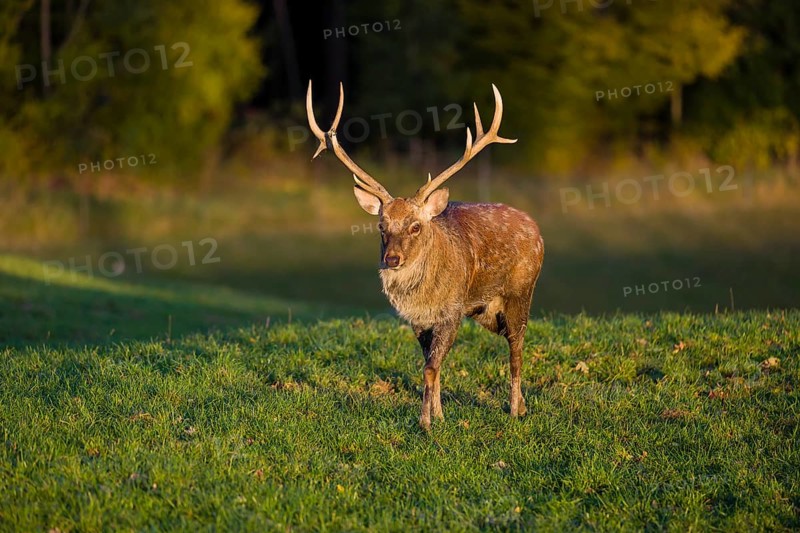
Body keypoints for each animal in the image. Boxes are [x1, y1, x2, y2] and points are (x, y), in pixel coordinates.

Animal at [306, 81, 544, 431]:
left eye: (416, 226)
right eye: (381, 225)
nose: (392, 259)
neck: (423, 296)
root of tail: (536, 228)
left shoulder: (452, 310)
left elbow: (430, 367)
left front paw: (425, 422)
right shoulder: (418, 320)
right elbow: (432, 364)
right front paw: (440, 415)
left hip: (520, 291)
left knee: (516, 349)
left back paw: (514, 410)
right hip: (487, 311)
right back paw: (524, 407)